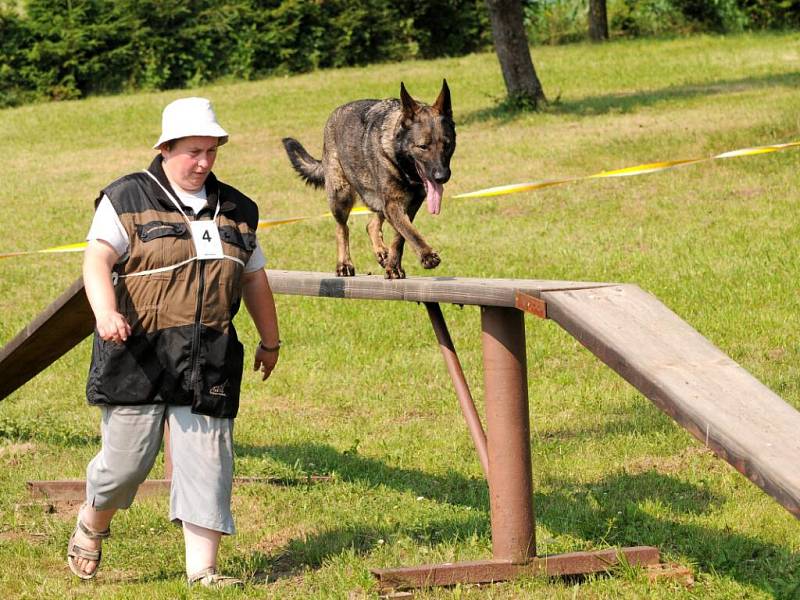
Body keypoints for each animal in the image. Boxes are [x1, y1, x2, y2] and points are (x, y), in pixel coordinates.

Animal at [282, 78, 456, 282]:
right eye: (423, 146)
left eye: (447, 145)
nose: (442, 176)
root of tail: (335, 113)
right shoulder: (393, 204)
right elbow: (409, 231)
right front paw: (426, 255)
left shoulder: (409, 205)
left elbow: (400, 235)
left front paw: (393, 266)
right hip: (341, 196)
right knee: (341, 228)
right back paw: (344, 264)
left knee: (371, 224)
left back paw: (382, 252)